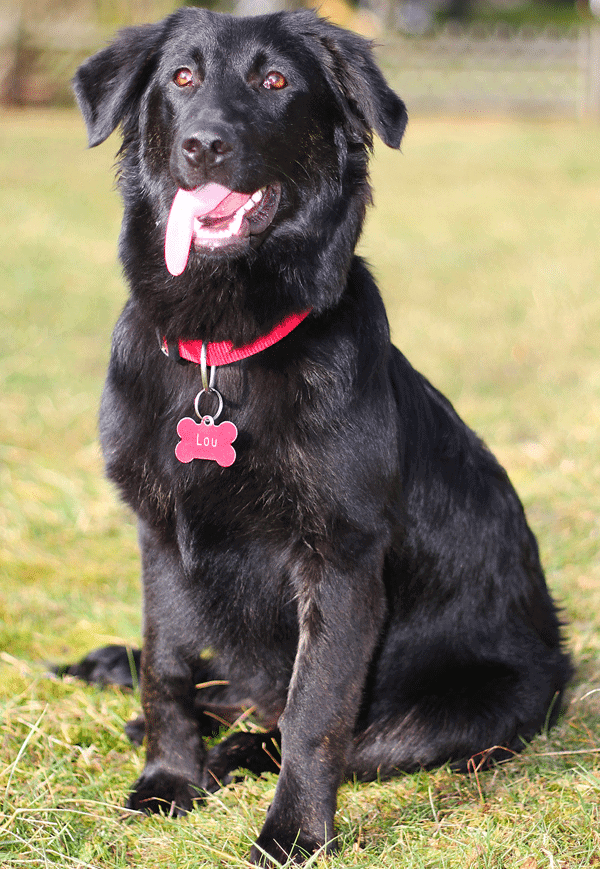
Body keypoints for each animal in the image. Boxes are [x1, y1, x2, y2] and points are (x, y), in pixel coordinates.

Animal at [71, 8, 572, 868]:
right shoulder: (160, 537)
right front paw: (168, 779)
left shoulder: (339, 562)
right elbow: (167, 668)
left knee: (306, 728)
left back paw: (237, 754)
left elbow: (315, 715)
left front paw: (293, 832)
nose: (203, 144)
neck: (225, 354)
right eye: (181, 77)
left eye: (275, 81)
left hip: (456, 711)